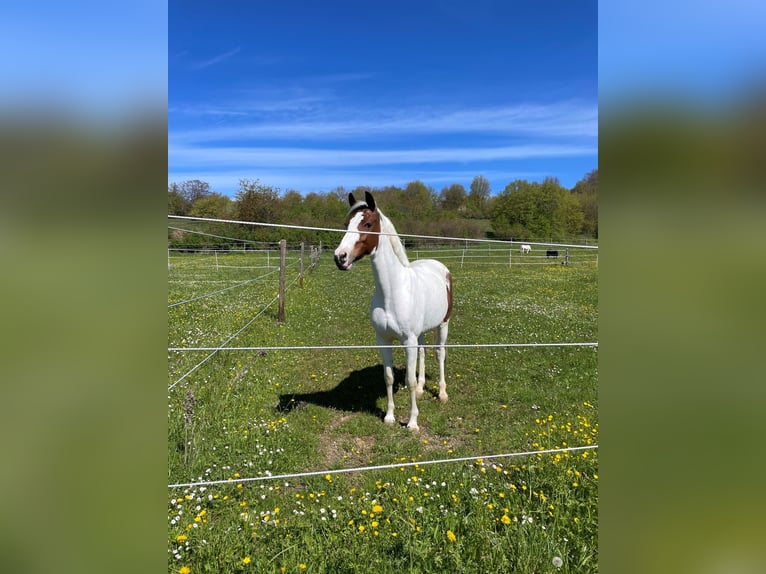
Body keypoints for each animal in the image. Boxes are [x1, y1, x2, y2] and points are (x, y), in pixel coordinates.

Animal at [332, 194, 452, 432]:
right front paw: (389, 417)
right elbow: (388, 377)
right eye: (346, 224)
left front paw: (412, 423)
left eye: (368, 224)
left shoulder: (408, 340)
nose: (340, 257)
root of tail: (439, 267)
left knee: (439, 354)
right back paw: (423, 389)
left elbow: (410, 380)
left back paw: (442, 394)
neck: (393, 292)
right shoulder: (383, 339)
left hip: (443, 325)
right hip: (420, 334)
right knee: (423, 353)